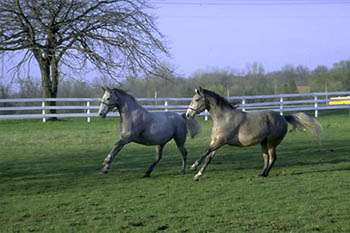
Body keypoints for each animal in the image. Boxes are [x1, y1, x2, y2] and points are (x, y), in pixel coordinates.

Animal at [186, 87, 320, 180]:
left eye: (196, 99)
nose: (188, 114)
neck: (224, 118)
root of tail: (283, 117)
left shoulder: (221, 141)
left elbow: (205, 151)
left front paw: (193, 166)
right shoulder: (216, 142)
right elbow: (208, 157)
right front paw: (198, 175)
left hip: (271, 143)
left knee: (272, 157)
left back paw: (265, 174)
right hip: (264, 143)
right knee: (266, 158)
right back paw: (262, 173)